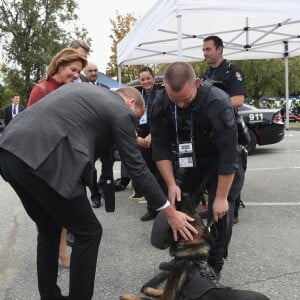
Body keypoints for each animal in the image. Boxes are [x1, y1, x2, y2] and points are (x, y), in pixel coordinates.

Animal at [119, 192, 270, 300]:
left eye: (184, 213)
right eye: (194, 212)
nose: (184, 194)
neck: (193, 255)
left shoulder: (168, 297)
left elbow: (144, 298)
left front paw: (129, 295)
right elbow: (157, 291)